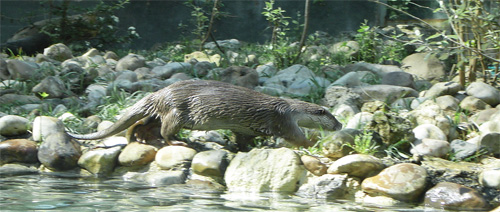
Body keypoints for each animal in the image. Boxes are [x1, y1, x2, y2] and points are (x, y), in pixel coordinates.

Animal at [68, 79, 342, 149]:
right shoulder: (284, 120)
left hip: (160, 112)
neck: (288, 108)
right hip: (177, 113)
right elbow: (296, 137)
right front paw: (314, 141)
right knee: (166, 131)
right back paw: (177, 142)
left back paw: (138, 138)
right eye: (328, 114)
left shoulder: (245, 127)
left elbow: (243, 138)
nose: (339, 125)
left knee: (142, 125)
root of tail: (160, 93)